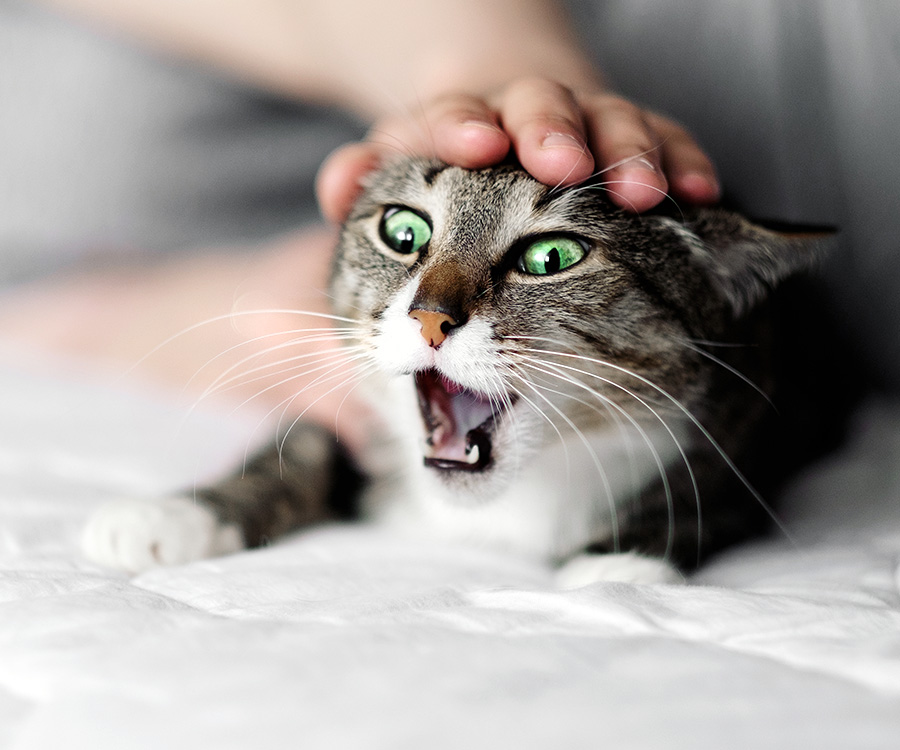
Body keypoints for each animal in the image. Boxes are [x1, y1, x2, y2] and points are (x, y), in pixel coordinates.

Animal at [82, 157, 836, 588]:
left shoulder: (752, 406)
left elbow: (705, 485)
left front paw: (617, 563)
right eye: (403, 232)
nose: (430, 317)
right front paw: (173, 515)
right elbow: (305, 443)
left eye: (552, 256)